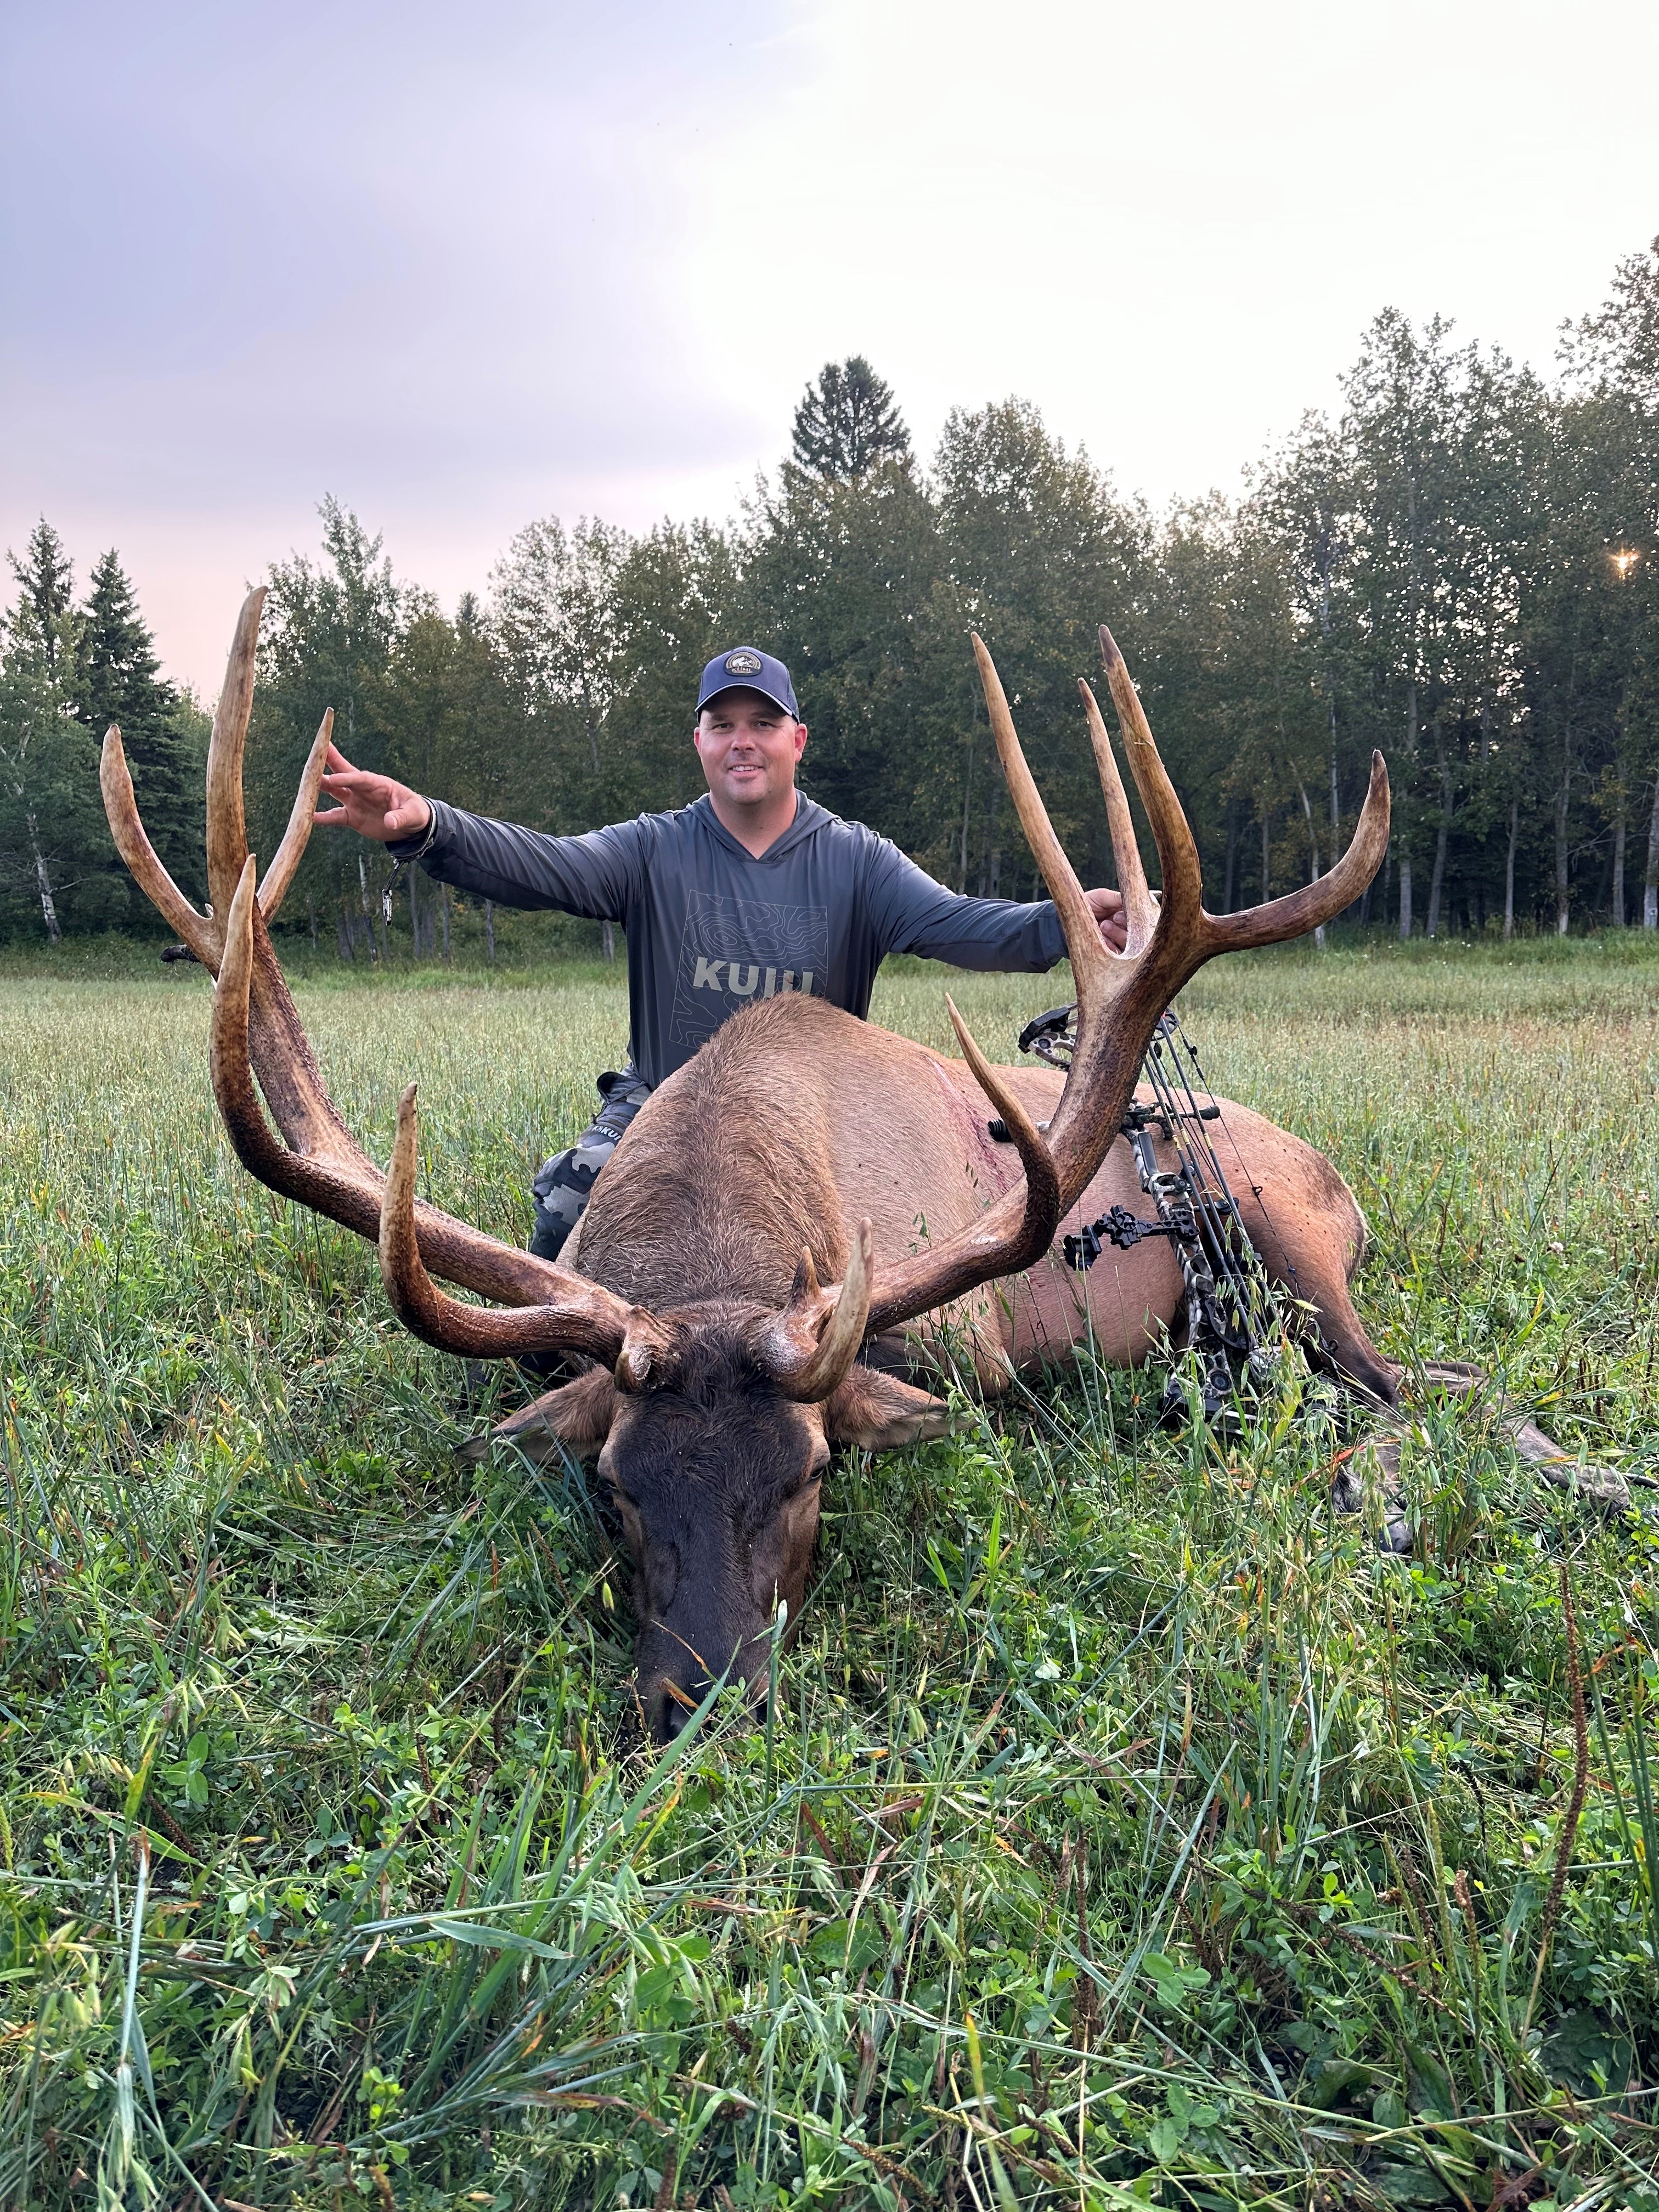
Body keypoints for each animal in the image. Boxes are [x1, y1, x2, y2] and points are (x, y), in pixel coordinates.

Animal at [103, 589, 1412, 1742]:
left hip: (1291, 1242)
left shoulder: (973, 1354)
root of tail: (1327, 1171)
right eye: (615, 1484)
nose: (703, 1701)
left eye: (813, 1472)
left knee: (1400, 1382)